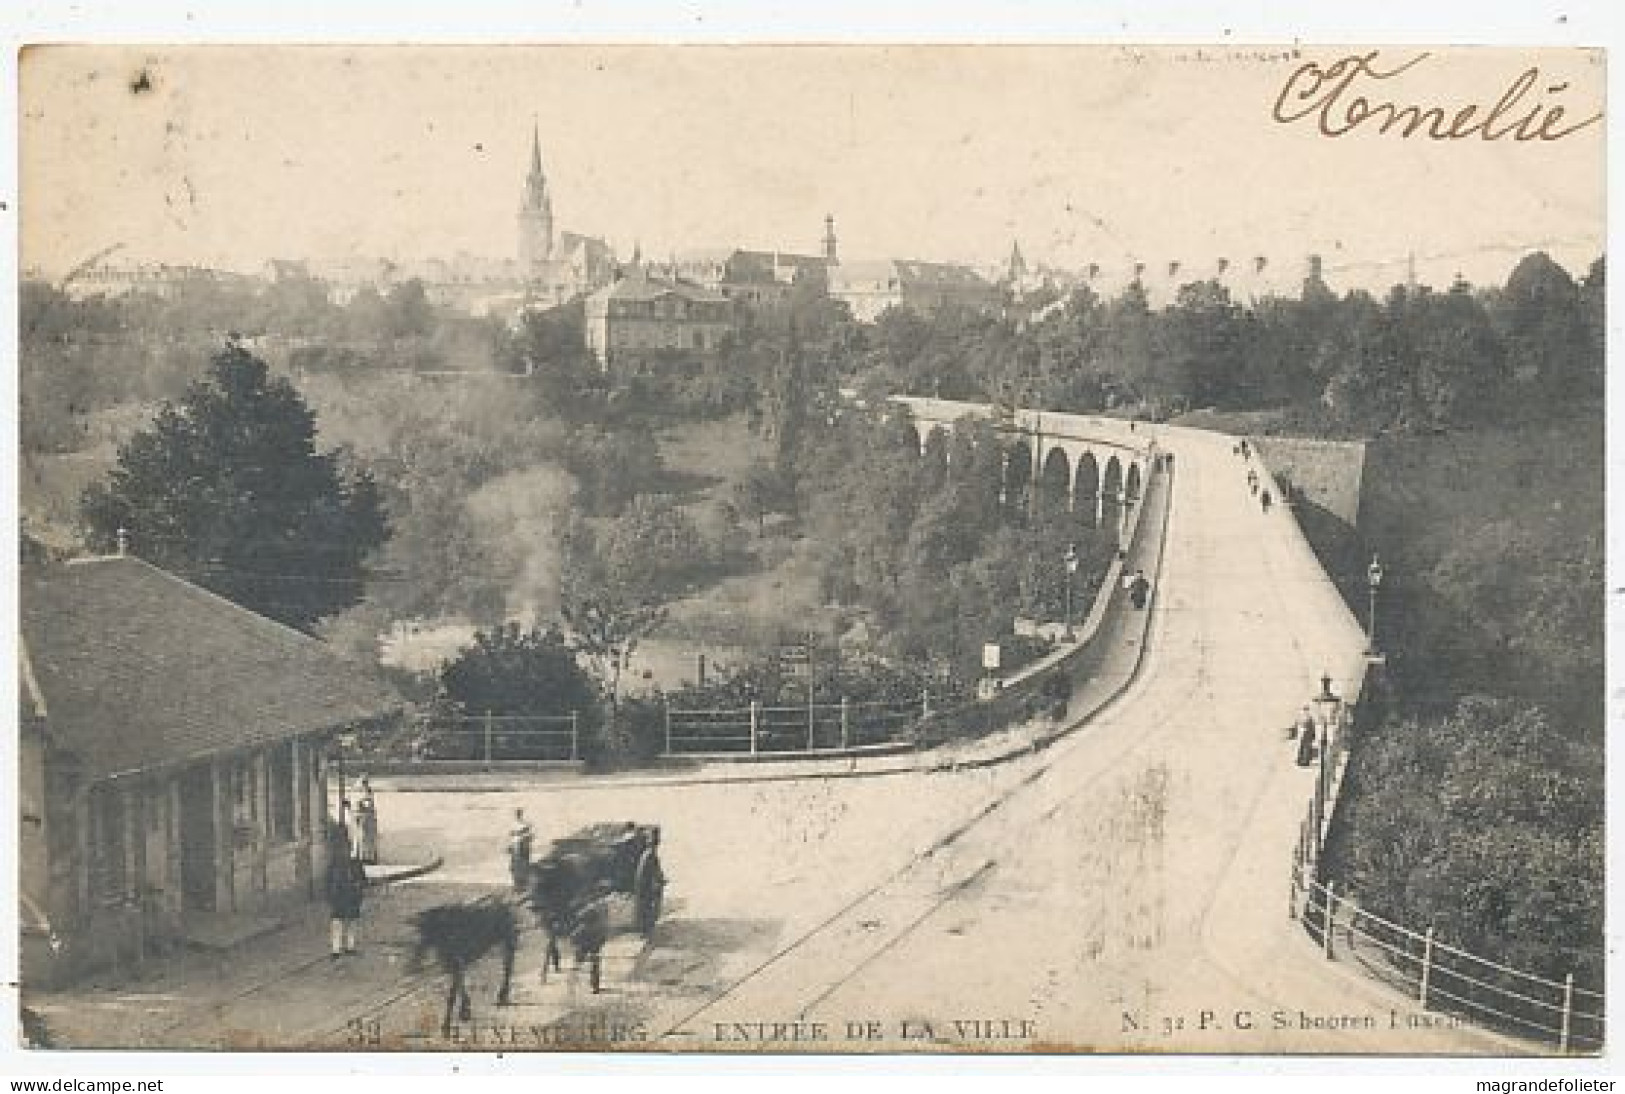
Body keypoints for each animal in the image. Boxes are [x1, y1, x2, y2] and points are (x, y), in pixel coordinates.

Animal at [412, 890, 513, 1033]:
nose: (417, 959)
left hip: (507, 942)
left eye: (440, 929)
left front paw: (455, 1018)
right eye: (425, 932)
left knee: (508, 968)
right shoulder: (455, 966)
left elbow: (453, 993)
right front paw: (462, 1012)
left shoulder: (457, 964)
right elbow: (457, 988)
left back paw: (503, 995)